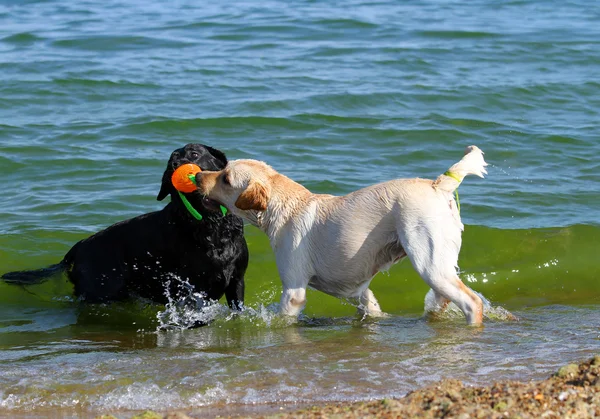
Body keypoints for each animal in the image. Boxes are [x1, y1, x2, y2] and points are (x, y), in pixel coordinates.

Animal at [1, 144, 248, 312]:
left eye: (194, 154)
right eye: (171, 161)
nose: (174, 167)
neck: (209, 225)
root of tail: (78, 247)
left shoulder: (236, 281)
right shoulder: (192, 287)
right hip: (99, 291)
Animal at [195, 146, 490, 326]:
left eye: (226, 179)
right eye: (221, 169)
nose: (197, 176)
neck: (284, 205)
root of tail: (438, 185)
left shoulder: (293, 291)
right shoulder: (356, 290)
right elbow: (372, 306)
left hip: (428, 262)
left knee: (471, 302)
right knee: (441, 300)